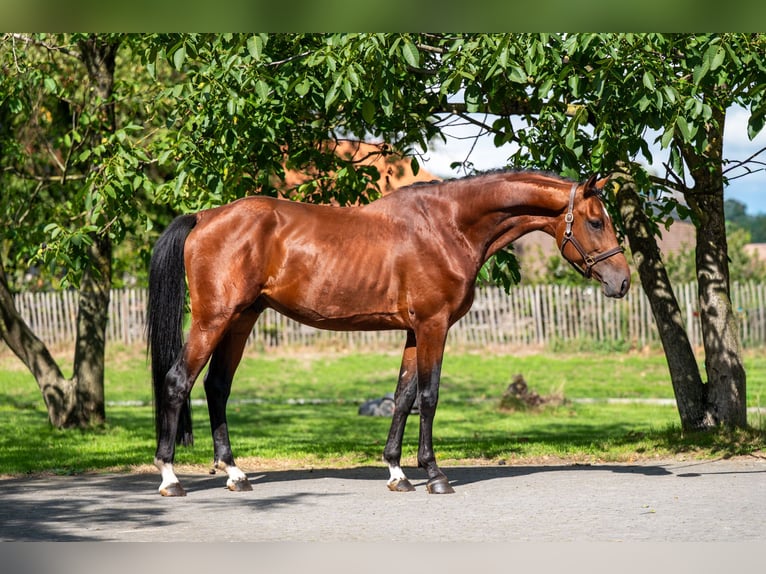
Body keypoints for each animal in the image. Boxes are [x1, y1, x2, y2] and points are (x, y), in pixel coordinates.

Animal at [147, 169, 630, 497]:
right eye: (596, 221)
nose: (622, 281)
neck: (448, 226)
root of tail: (204, 216)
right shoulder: (434, 325)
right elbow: (429, 396)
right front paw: (434, 474)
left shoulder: (415, 331)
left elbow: (403, 396)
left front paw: (398, 473)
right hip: (214, 319)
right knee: (177, 381)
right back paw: (170, 478)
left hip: (242, 319)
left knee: (216, 387)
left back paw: (235, 473)